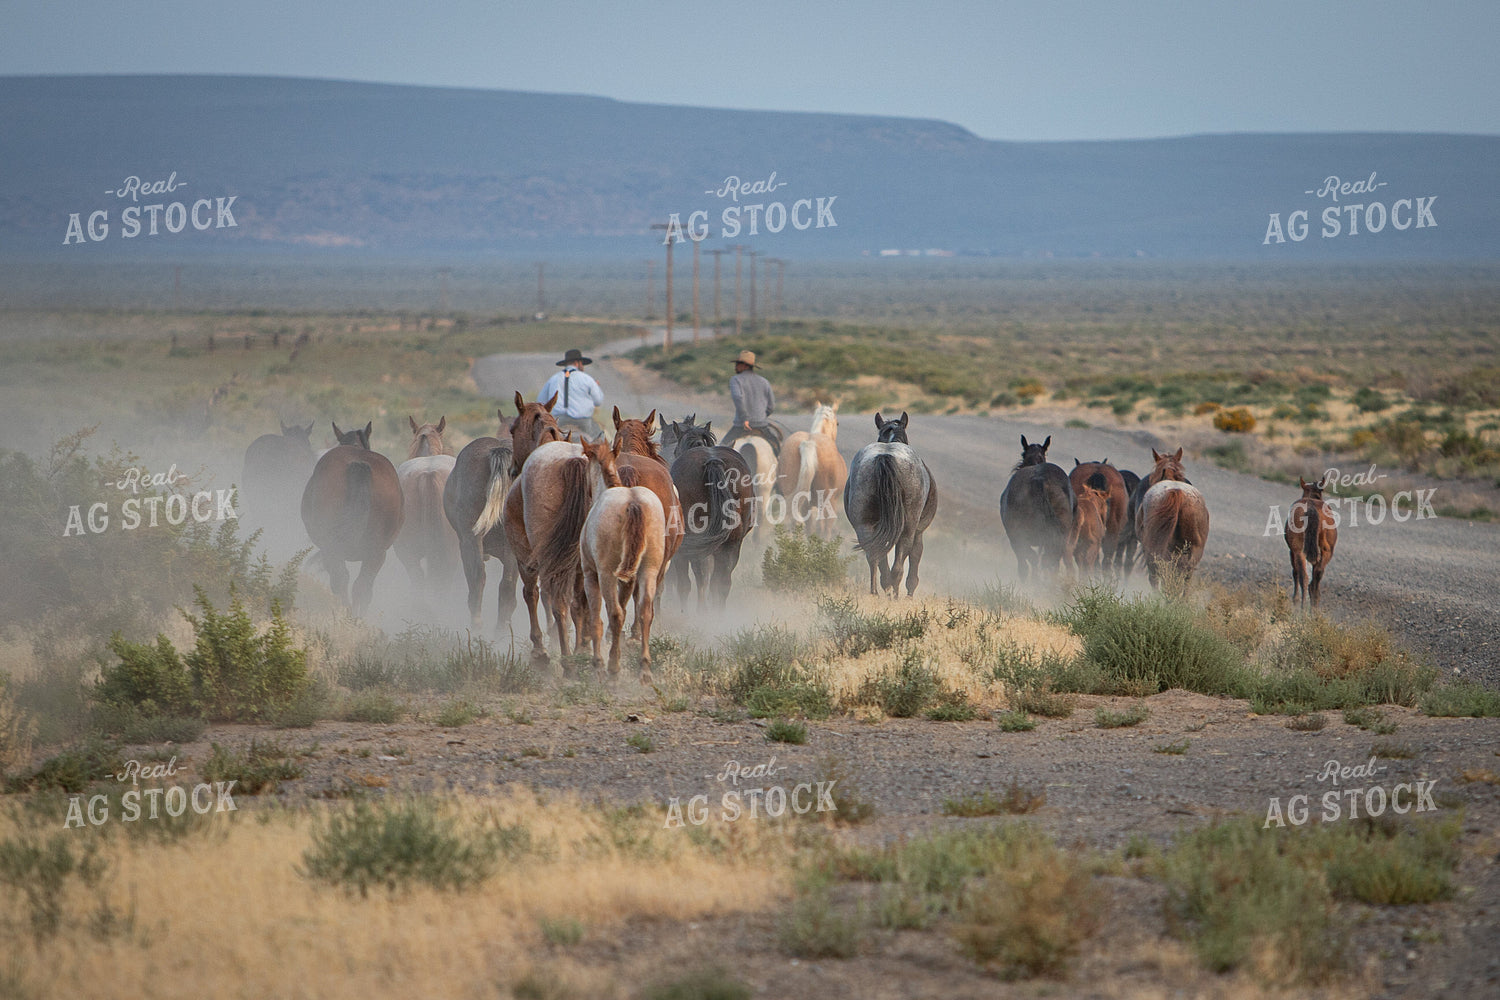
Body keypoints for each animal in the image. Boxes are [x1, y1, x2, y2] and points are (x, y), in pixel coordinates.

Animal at [580, 439, 666, 684]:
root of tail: (633, 501)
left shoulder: (591, 576)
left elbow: (596, 620)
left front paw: (598, 663)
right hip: (649, 570)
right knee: (645, 612)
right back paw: (644, 668)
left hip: (607, 574)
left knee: (615, 614)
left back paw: (613, 667)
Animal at [844, 411, 938, 597]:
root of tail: (885, 456)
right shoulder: (919, 530)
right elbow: (916, 554)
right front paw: (910, 591)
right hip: (908, 526)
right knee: (901, 557)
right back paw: (893, 591)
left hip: (864, 524)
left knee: (873, 555)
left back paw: (877, 590)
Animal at [999, 435, 1075, 583]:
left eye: (1023, 454)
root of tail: (1041, 480)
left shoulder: (1015, 538)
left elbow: (1026, 561)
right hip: (1059, 536)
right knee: (1050, 560)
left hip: (1019, 535)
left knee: (1032, 560)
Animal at [1285, 476, 1337, 609]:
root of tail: (1311, 508)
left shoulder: (1292, 551)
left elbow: (1295, 572)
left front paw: (1295, 599)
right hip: (1326, 552)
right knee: (1317, 575)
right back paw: (1314, 603)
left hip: (1298, 551)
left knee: (1303, 576)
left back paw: (1303, 605)